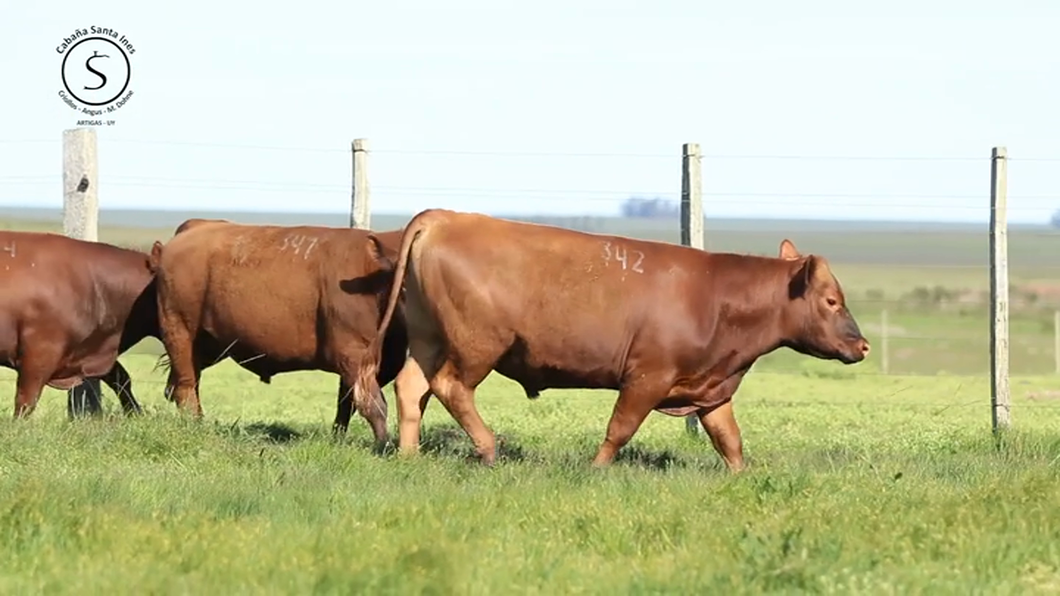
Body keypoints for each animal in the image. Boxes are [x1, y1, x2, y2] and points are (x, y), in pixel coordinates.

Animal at [149, 218, 409, 441]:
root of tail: (196, 226)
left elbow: (346, 402)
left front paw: (338, 439)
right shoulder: (354, 354)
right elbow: (372, 404)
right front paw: (384, 445)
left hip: (208, 344)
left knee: (182, 384)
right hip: (180, 331)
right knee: (185, 386)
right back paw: (195, 426)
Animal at [364, 211, 869, 470]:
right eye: (831, 301)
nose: (862, 346)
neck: (716, 297)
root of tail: (444, 218)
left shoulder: (712, 389)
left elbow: (730, 439)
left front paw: (741, 476)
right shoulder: (647, 378)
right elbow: (620, 428)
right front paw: (597, 468)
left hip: (428, 339)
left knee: (412, 388)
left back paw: (408, 454)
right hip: (476, 346)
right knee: (452, 388)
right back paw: (488, 449)